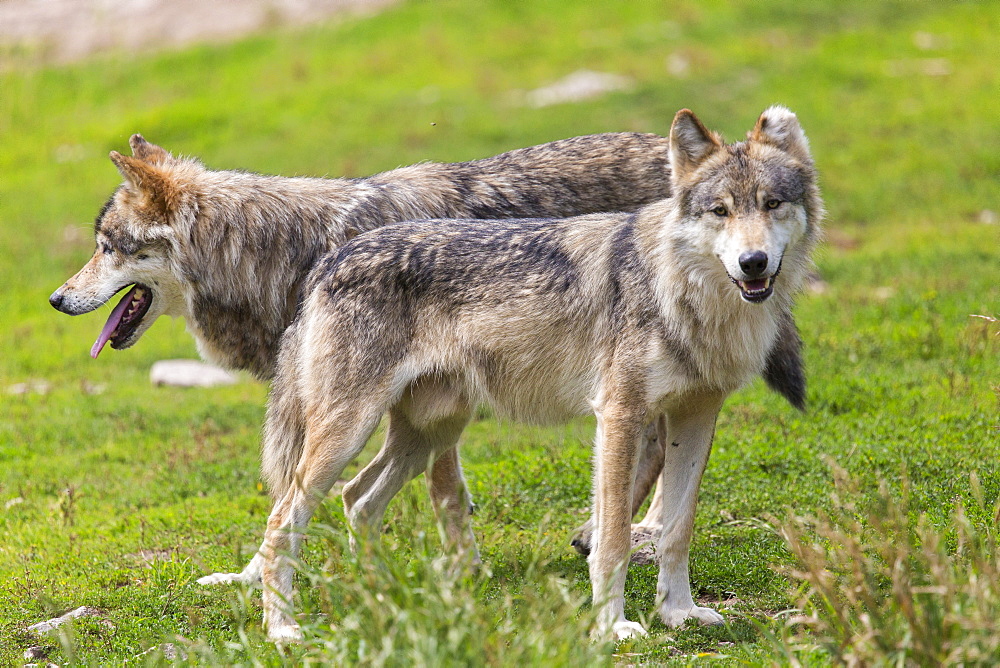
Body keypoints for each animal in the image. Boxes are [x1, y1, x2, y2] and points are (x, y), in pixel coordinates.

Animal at [48, 122, 804, 596]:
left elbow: (443, 495)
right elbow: (346, 497)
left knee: (647, 454)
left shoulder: (435, 403)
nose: (56, 298)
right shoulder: (410, 405)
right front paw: (251, 578)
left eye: (108, 247)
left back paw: (619, 533)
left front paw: (464, 571)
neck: (292, 249)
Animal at [248, 105, 820, 640]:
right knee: (282, 520)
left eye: (771, 204)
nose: (753, 262)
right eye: (720, 211)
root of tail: (328, 260)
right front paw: (612, 627)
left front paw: (678, 613)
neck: (683, 294)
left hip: (430, 433)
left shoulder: (696, 417)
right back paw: (282, 629)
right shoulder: (619, 415)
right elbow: (613, 537)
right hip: (349, 434)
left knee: (358, 499)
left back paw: (382, 601)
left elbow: (676, 530)